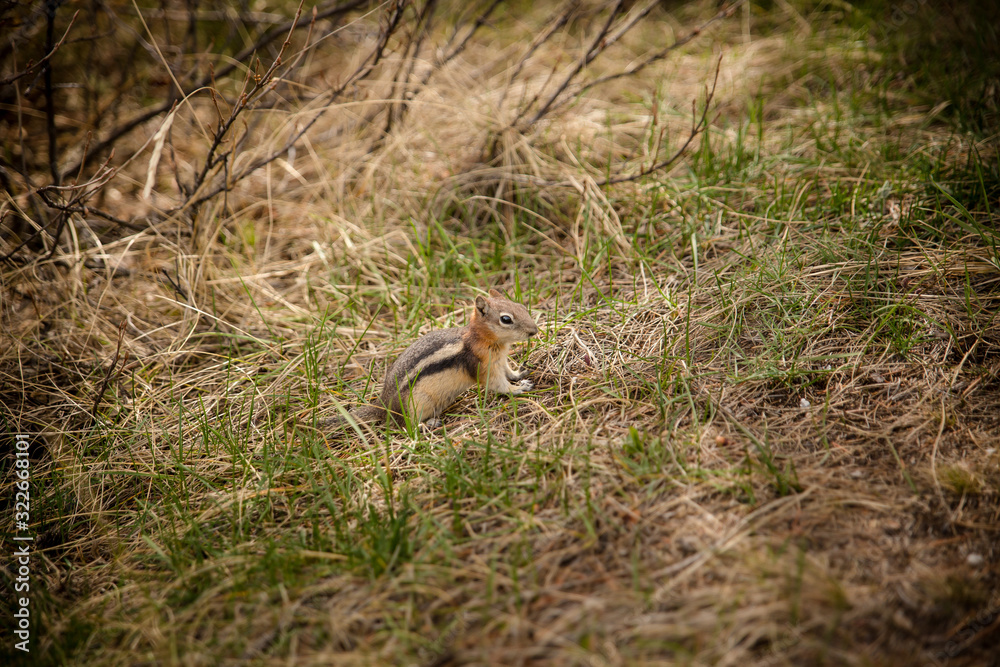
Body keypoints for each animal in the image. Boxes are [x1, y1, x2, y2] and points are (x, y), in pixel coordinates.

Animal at [330, 289, 539, 431]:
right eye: (506, 319)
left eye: (522, 307)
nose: (534, 331)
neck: (483, 339)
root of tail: (382, 406)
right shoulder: (484, 366)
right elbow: (497, 384)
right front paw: (516, 389)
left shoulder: (500, 360)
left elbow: (508, 371)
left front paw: (519, 374)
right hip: (414, 405)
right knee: (405, 426)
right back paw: (426, 425)